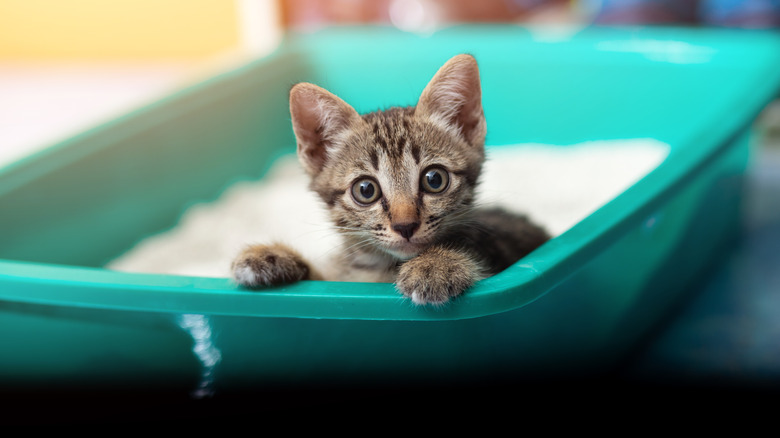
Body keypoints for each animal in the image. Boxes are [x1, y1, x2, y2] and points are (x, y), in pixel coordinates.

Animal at [230, 54, 548, 304]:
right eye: (365, 189)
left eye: (434, 179)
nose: (405, 226)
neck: (383, 269)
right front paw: (272, 256)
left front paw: (436, 264)